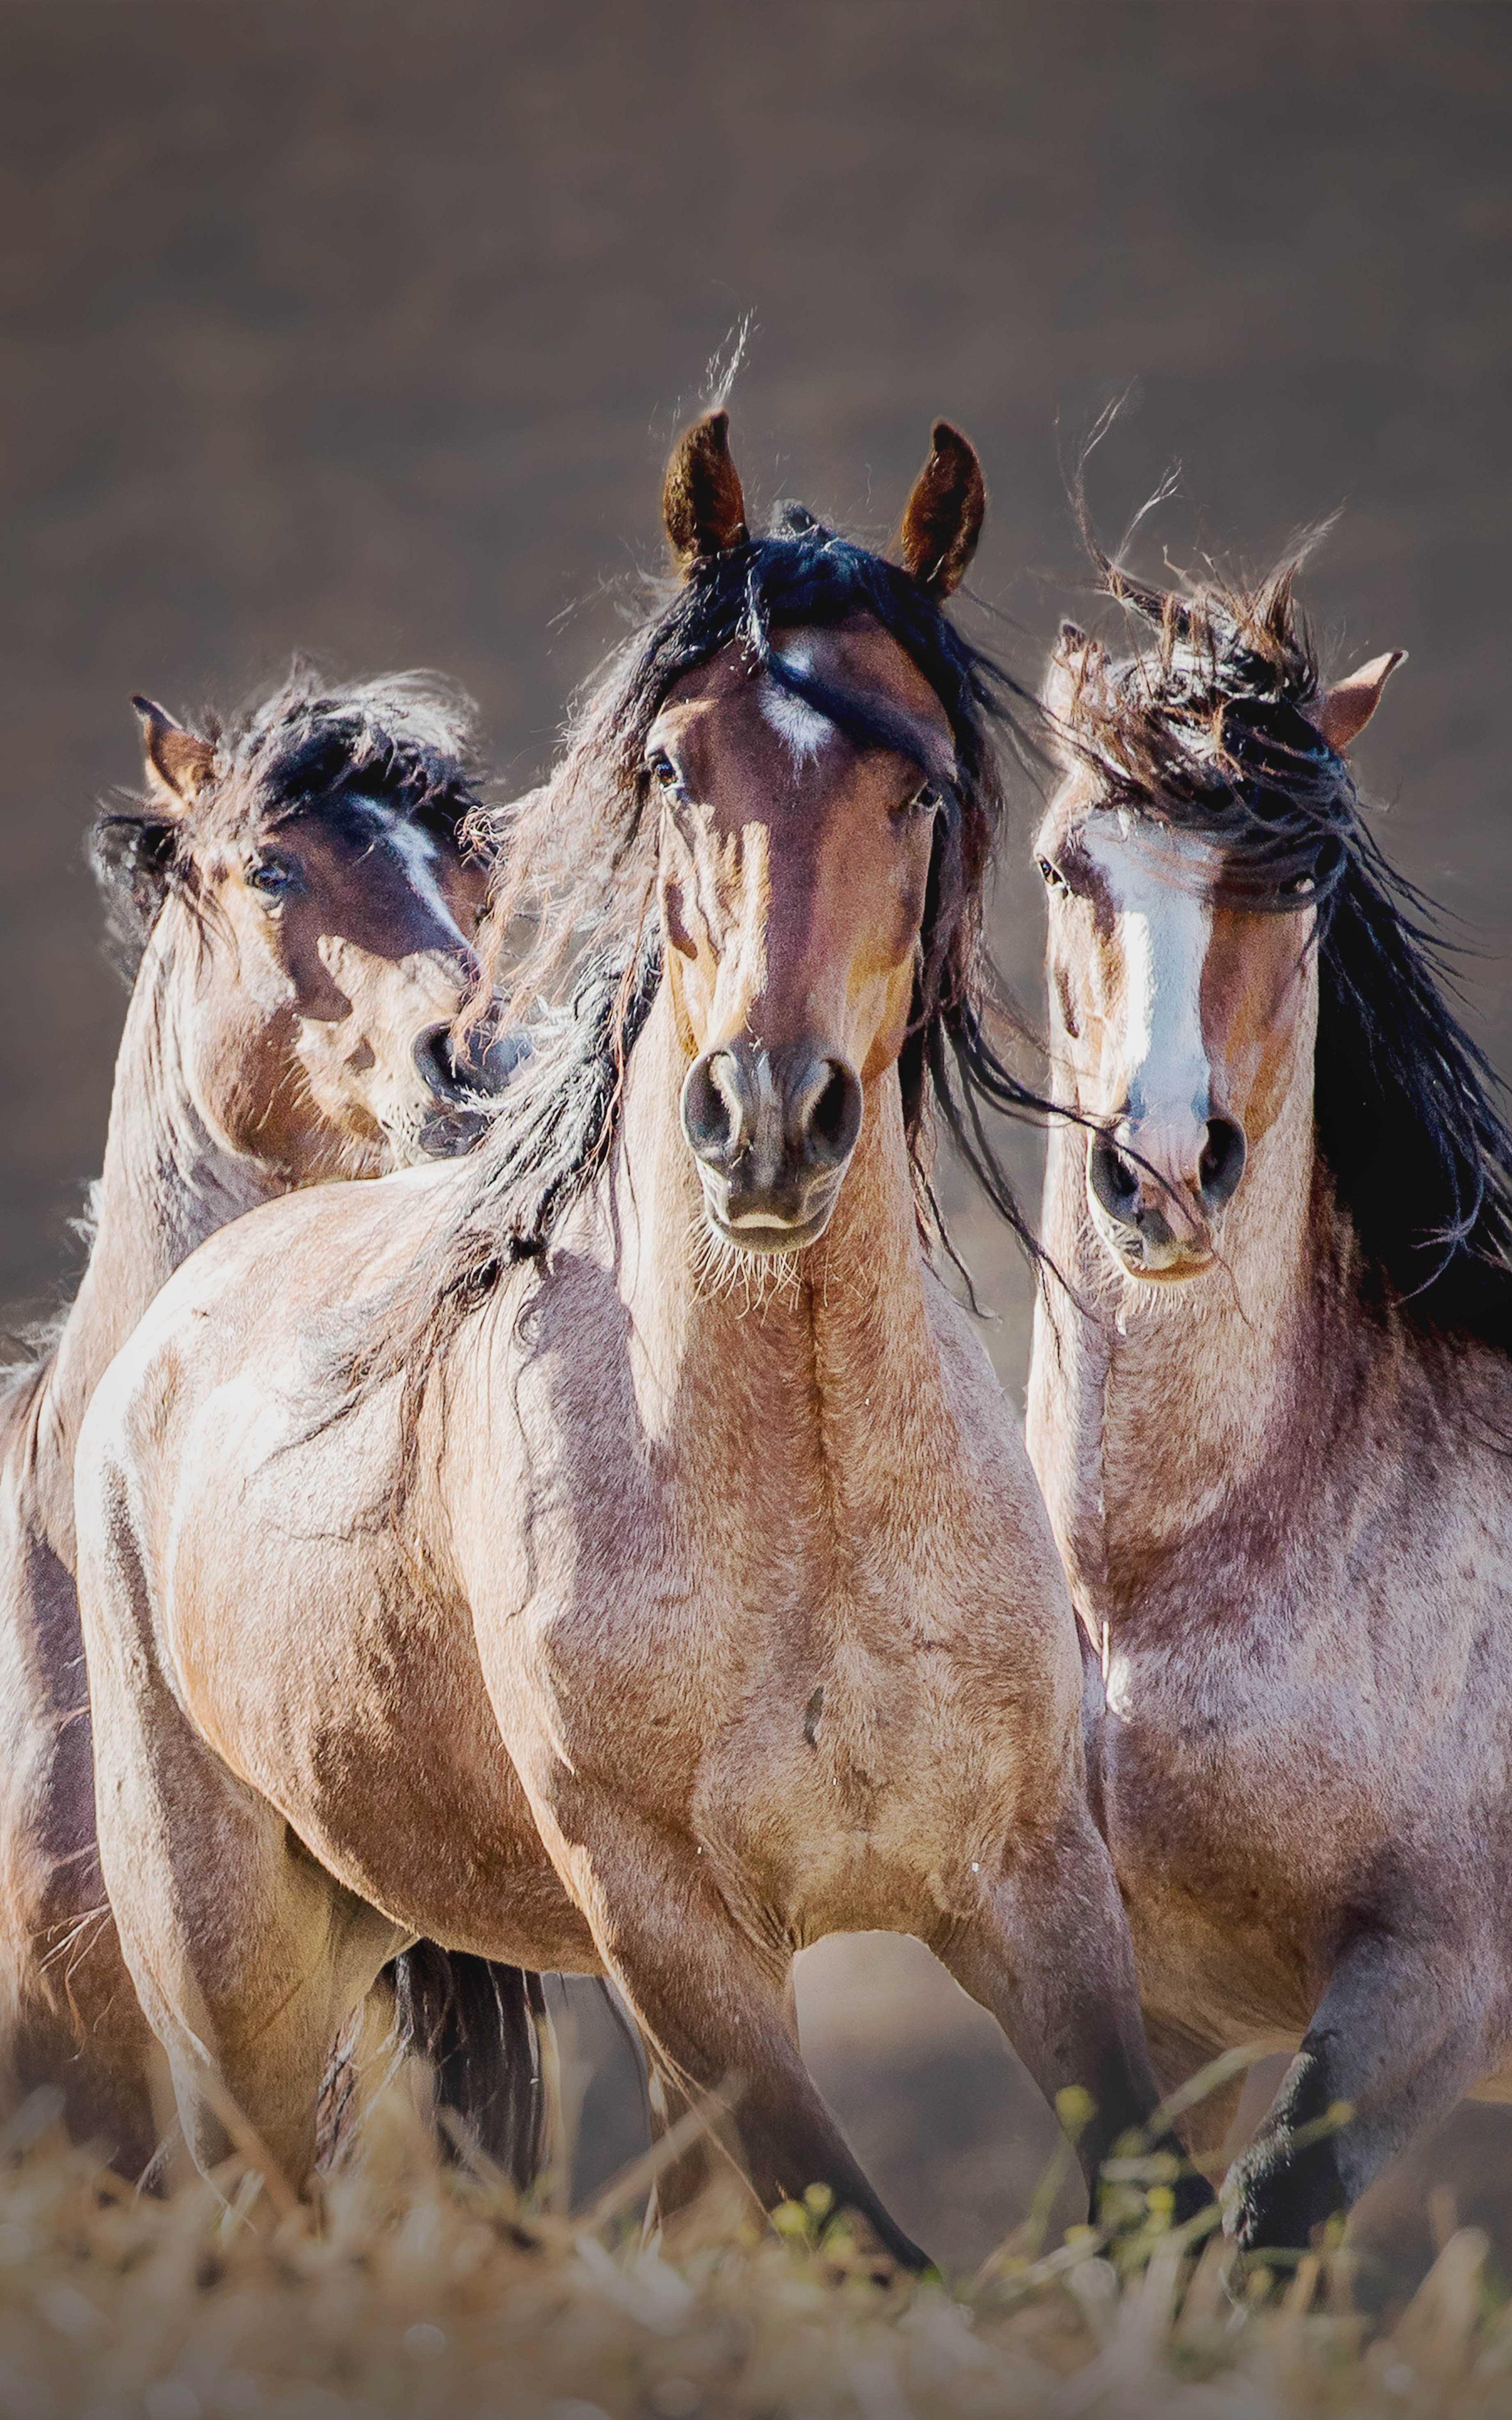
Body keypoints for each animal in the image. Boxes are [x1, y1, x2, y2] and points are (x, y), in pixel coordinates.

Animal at [74, 421, 1205, 2265]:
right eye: (674, 768)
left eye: (921, 784)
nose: (767, 1120)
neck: (799, 1494)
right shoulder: (674, 1941)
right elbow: (878, 2259)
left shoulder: (1036, 1888)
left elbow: (1154, 2215)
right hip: (241, 1993)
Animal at [1021, 556, 1510, 2255]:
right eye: (1064, 867)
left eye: (1299, 881)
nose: (1164, 1167)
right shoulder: (1167, 2007)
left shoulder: (1422, 1990)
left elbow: (1260, 2226)